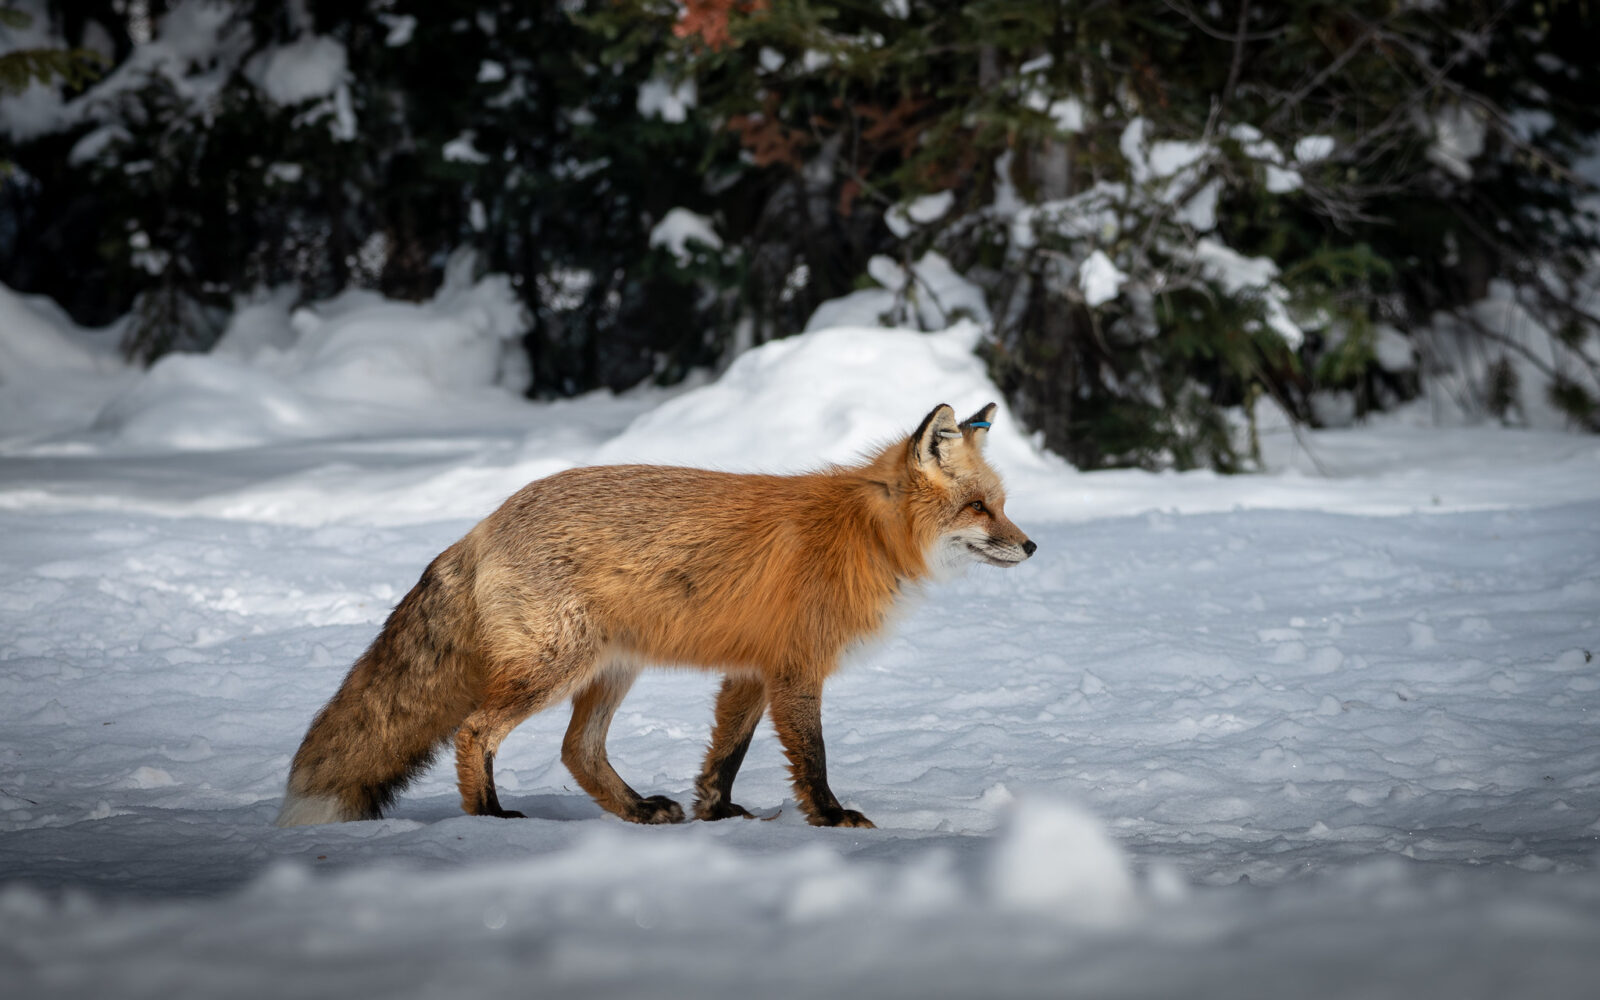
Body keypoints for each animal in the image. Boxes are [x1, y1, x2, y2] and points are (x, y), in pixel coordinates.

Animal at [278, 401, 1036, 832]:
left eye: (1001, 504)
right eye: (978, 508)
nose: (1031, 546)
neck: (865, 533)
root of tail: (485, 523)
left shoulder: (753, 671)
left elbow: (726, 755)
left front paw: (718, 814)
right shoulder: (797, 669)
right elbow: (813, 757)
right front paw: (828, 817)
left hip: (611, 669)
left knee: (577, 750)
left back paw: (639, 810)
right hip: (557, 667)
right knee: (476, 729)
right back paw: (489, 816)